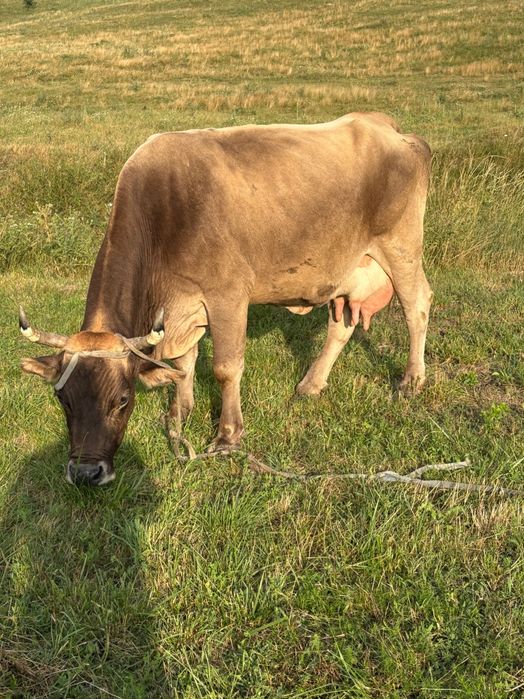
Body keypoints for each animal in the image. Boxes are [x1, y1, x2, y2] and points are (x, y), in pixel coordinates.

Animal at [19, 112, 432, 486]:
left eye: (122, 399)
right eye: (63, 400)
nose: (86, 473)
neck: (166, 214)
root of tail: (385, 125)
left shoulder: (227, 295)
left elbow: (225, 368)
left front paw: (227, 436)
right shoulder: (182, 308)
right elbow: (183, 363)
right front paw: (178, 415)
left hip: (401, 247)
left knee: (418, 306)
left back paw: (411, 380)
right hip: (345, 270)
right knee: (341, 327)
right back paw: (311, 385)